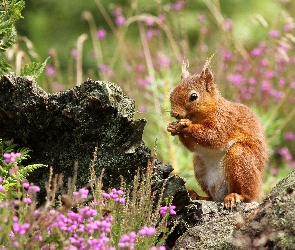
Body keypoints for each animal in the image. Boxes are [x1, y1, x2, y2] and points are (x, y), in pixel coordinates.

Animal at [168, 59, 270, 209]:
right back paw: (198, 195)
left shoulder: (225, 121)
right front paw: (172, 127)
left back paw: (235, 196)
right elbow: (193, 146)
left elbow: (214, 136)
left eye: (193, 96)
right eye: (171, 94)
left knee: (246, 195)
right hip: (199, 167)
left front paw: (186, 126)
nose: (174, 114)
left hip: (240, 159)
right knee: (211, 197)